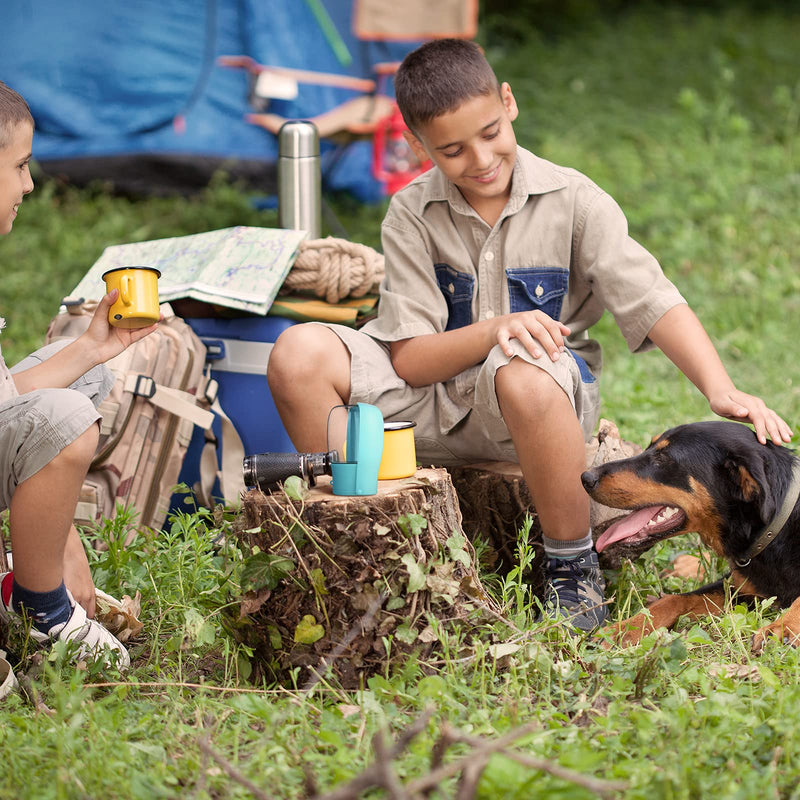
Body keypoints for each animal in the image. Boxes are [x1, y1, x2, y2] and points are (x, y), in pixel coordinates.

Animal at [580, 418, 800, 648]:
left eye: (662, 458)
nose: (586, 477)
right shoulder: (738, 588)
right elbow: (675, 598)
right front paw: (625, 628)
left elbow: (798, 601)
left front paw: (782, 627)